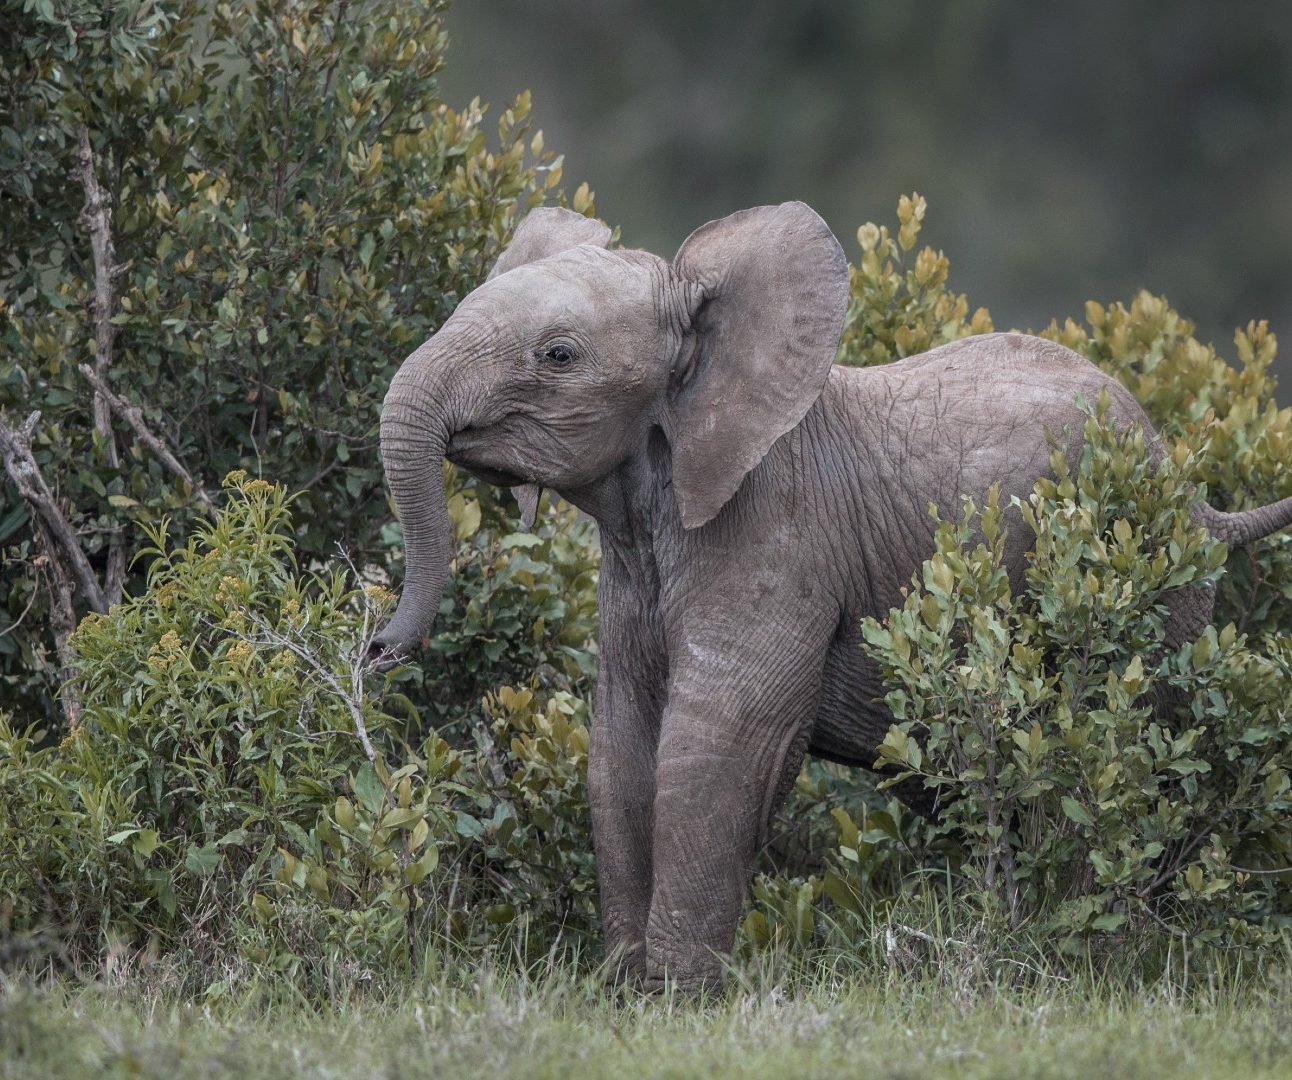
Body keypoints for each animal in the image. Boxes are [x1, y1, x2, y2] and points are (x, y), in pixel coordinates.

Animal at [372, 197, 1292, 992]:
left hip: (1151, 587)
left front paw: (676, 1000)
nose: (378, 650)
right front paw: (623, 990)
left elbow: (715, 749)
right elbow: (621, 749)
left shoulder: (778, 533)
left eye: (558, 357)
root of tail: (1194, 492)